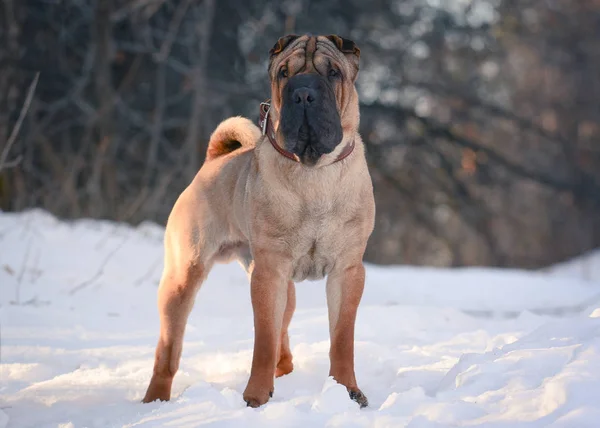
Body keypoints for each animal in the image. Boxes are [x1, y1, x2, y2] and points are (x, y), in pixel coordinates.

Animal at [142, 33, 376, 408]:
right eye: (284, 73)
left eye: (333, 73)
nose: (303, 92)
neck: (313, 172)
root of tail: (212, 161)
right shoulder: (269, 273)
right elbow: (263, 341)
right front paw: (254, 398)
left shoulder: (347, 271)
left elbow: (342, 339)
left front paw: (348, 392)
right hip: (183, 278)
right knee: (168, 351)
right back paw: (156, 400)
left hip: (284, 288)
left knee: (284, 344)